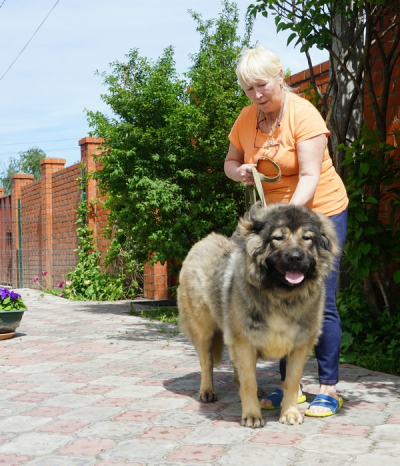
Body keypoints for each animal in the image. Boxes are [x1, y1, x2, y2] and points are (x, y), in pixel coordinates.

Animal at [177, 202, 338, 428]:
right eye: (278, 238)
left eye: (307, 238)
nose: (295, 258)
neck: (280, 296)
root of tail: (204, 240)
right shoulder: (245, 341)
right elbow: (249, 382)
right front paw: (252, 415)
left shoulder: (298, 345)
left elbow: (291, 382)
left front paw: (289, 412)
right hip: (204, 330)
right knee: (206, 362)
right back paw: (207, 391)